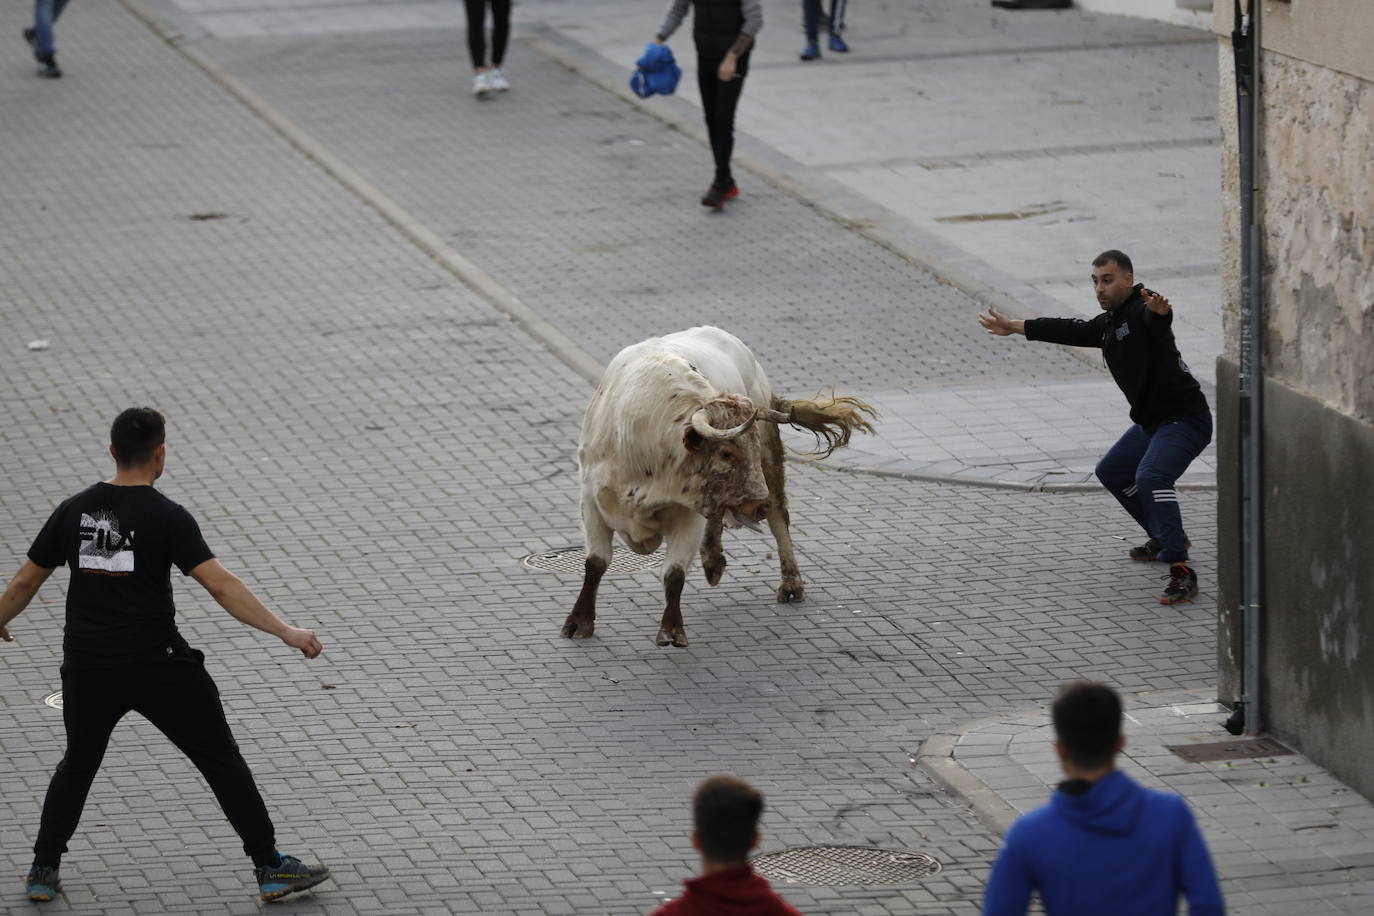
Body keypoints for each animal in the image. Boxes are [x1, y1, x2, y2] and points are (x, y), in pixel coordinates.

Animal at [560, 325, 873, 648]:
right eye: (726, 453)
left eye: (751, 445)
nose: (759, 506)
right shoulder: (591, 502)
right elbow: (595, 563)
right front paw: (579, 621)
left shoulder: (687, 513)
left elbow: (674, 574)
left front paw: (672, 630)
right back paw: (713, 560)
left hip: (770, 460)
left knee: (779, 518)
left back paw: (789, 582)